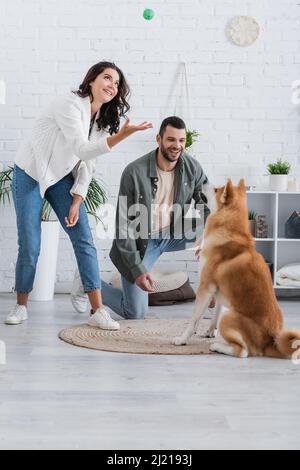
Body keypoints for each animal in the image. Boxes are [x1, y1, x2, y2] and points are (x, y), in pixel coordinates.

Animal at [173, 180, 300, 360]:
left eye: (216, 189)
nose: (203, 181)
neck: (227, 232)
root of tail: (270, 342)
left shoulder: (205, 287)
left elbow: (194, 319)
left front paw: (183, 339)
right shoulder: (219, 291)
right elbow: (214, 314)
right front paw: (209, 332)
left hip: (228, 317)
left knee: (244, 352)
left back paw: (217, 346)